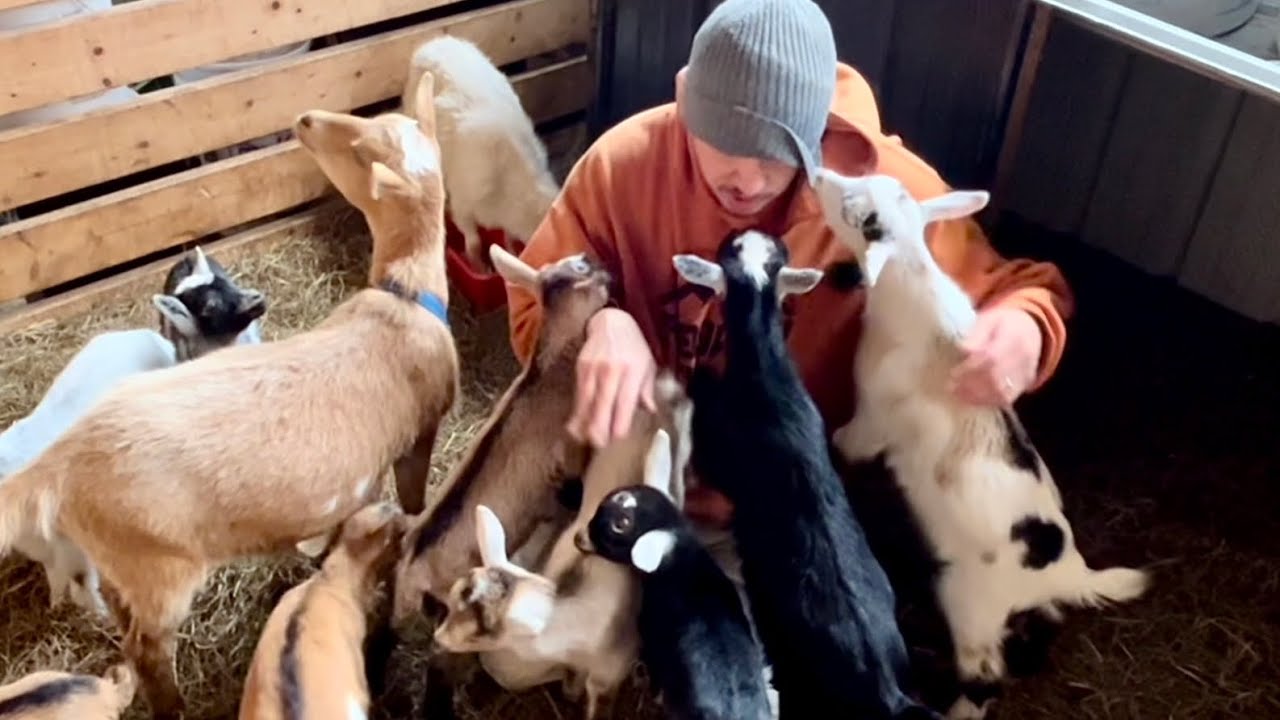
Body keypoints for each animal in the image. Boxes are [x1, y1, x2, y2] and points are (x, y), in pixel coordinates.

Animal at [403, 35, 561, 272]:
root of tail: (437, 40)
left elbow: (508, 236)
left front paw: (511, 250)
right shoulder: (464, 207)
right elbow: (474, 242)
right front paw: (478, 266)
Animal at [811, 168, 1150, 720]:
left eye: (850, 211)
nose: (820, 173)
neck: (915, 307)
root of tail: (1070, 571)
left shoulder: (872, 419)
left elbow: (849, 442)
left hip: (971, 606)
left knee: (985, 676)